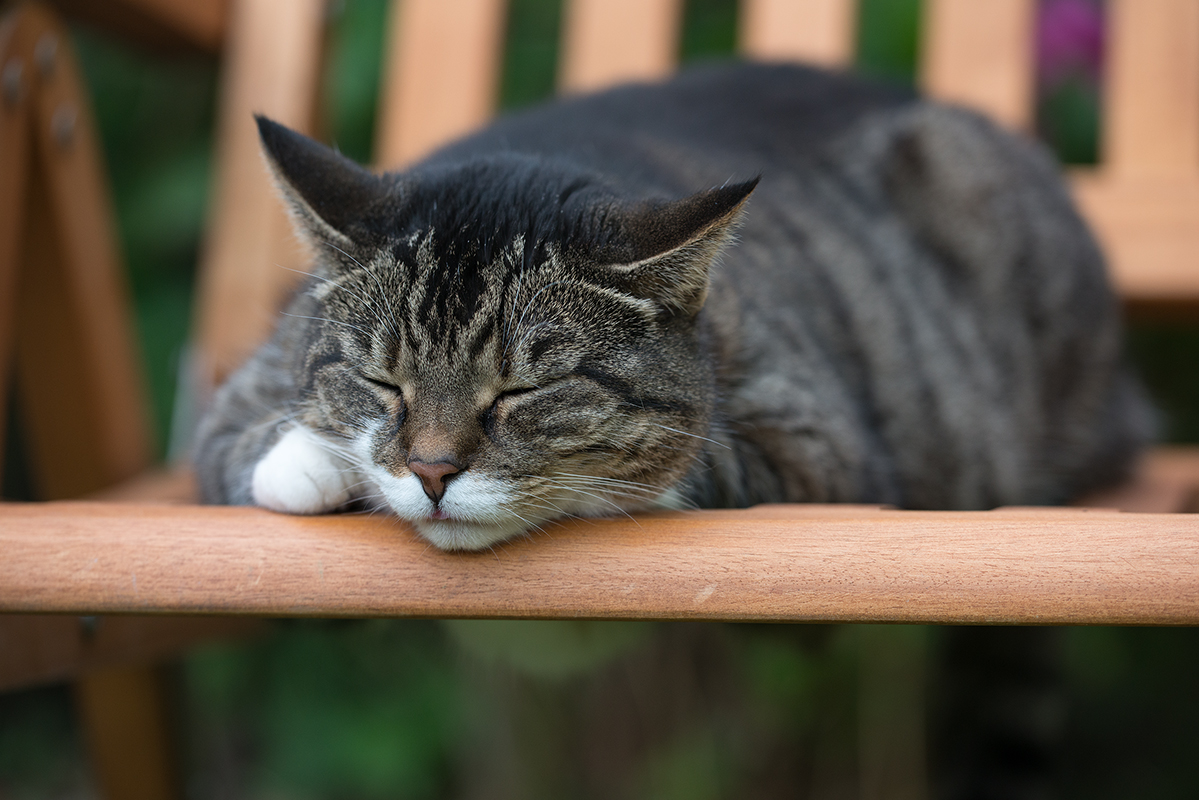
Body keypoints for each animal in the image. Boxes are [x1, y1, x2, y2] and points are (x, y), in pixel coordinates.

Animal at [194, 62, 1151, 554]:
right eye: (381, 381)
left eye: (522, 393)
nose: (430, 472)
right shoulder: (242, 388)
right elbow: (238, 440)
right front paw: (309, 458)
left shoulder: (816, 446)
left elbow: (677, 463)